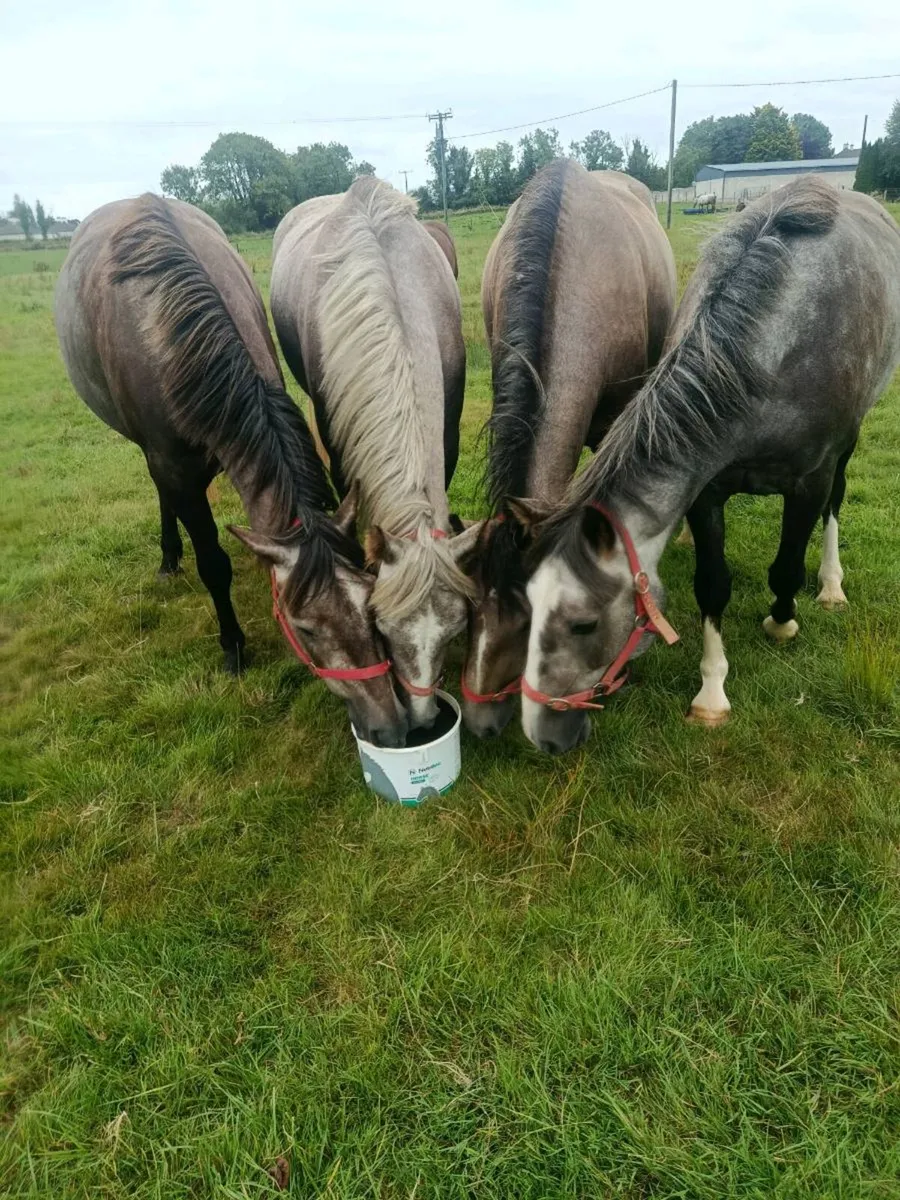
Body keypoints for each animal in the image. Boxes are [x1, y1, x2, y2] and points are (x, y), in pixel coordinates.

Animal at [55, 193, 407, 747]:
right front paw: (233, 645)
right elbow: (213, 563)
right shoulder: (173, 467)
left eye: (370, 600)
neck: (172, 338)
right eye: (304, 626)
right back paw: (169, 556)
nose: (391, 728)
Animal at [516, 179, 900, 754]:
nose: (542, 736)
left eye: (583, 624)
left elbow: (787, 565)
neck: (768, 356)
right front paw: (712, 694)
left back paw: (832, 585)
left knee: (837, 502)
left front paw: (782, 622)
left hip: (849, 443)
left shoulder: (808, 482)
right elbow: (712, 584)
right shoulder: (706, 491)